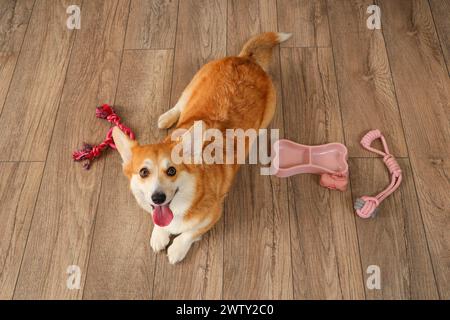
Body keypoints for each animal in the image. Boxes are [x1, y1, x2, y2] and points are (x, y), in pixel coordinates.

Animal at [112, 31, 292, 262]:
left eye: (172, 171)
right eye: (144, 172)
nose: (158, 198)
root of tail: (246, 60)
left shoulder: (214, 214)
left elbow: (188, 233)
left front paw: (176, 250)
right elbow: (159, 223)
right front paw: (159, 235)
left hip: (268, 113)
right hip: (193, 84)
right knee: (180, 103)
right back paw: (166, 117)